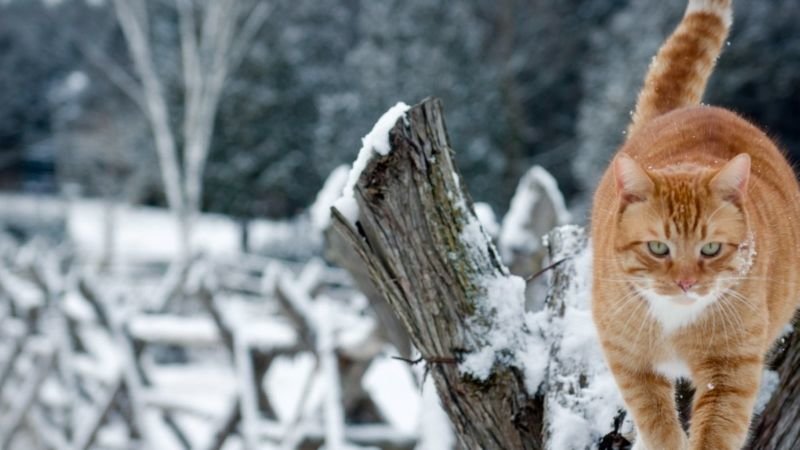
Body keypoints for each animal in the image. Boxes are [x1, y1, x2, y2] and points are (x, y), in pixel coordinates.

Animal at [588, 0, 800, 450]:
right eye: (658, 248)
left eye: (710, 249)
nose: (685, 283)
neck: (674, 320)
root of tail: (691, 110)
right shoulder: (630, 361)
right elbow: (657, 421)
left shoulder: (731, 370)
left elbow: (717, 429)